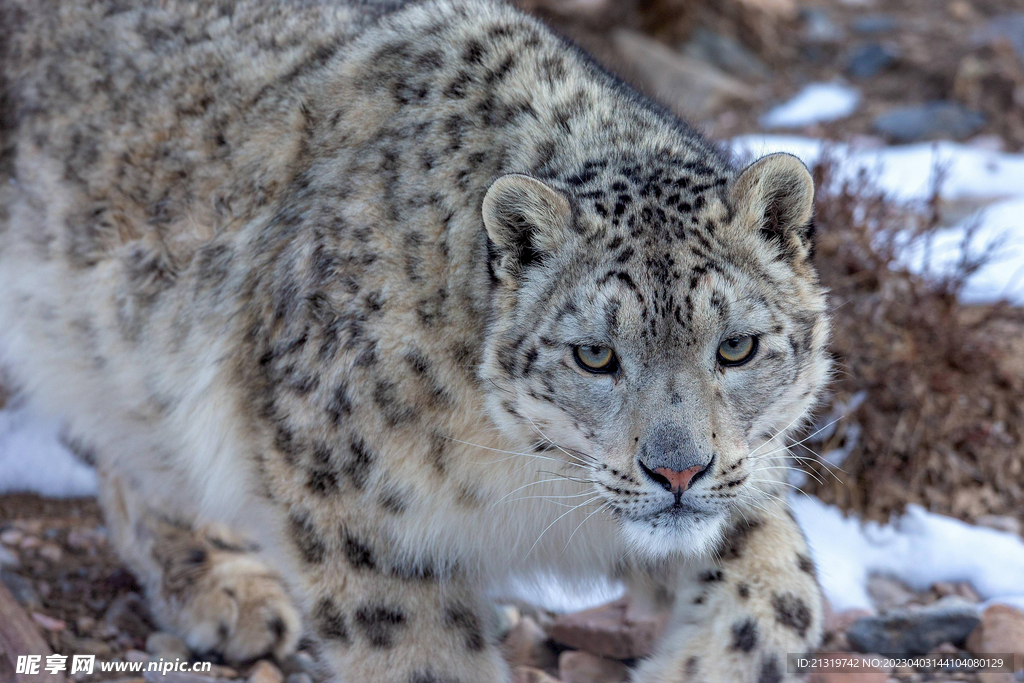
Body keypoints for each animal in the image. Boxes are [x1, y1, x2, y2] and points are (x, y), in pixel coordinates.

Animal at [0, 0, 831, 679]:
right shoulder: (354, 509)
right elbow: (419, 652)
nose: (679, 472)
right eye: (595, 354)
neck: (526, 482)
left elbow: (786, 588)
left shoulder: (742, 483)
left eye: (736, 347)